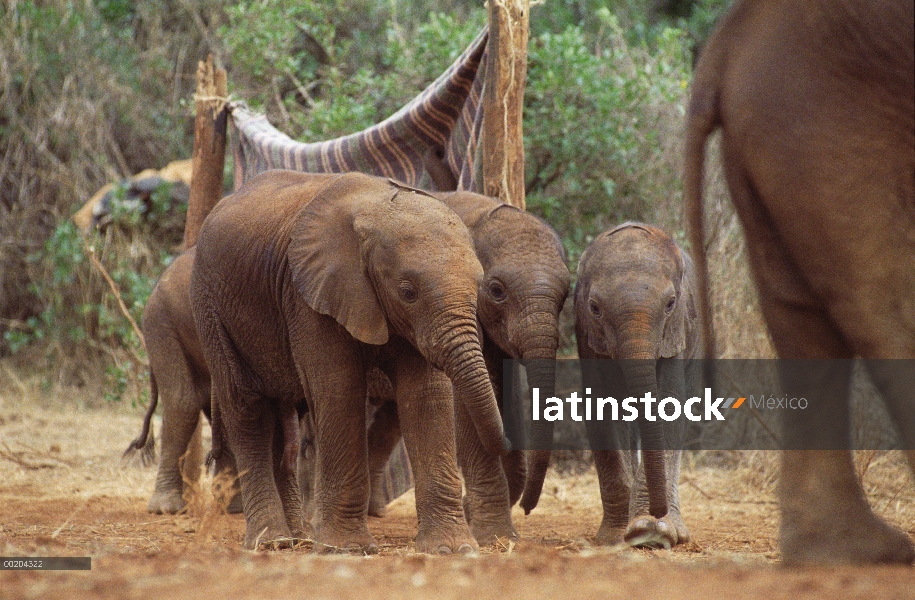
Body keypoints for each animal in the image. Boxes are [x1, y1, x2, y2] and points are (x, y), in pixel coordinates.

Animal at [572, 224, 700, 548]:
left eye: (670, 304)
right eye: (594, 308)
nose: (657, 512)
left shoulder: (676, 334)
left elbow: (671, 404)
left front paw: (651, 531)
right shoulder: (587, 339)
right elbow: (600, 407)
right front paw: (619, 535)